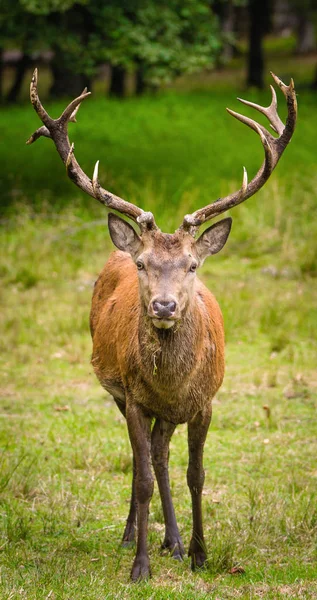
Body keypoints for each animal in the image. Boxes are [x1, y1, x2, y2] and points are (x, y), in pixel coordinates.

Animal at [27, 70, 296, 580]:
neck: (173, 382)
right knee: (143, 460)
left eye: (192, 265)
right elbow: (143, 478)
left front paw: (198, 553)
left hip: (169, 414)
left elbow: (196, 475)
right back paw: (135, 535)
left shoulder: (205, 401)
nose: (165, 306)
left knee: (161, 453)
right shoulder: (133, 397)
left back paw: (171, 540)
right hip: (119, 390)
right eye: (143, 264)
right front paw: (140, 566)